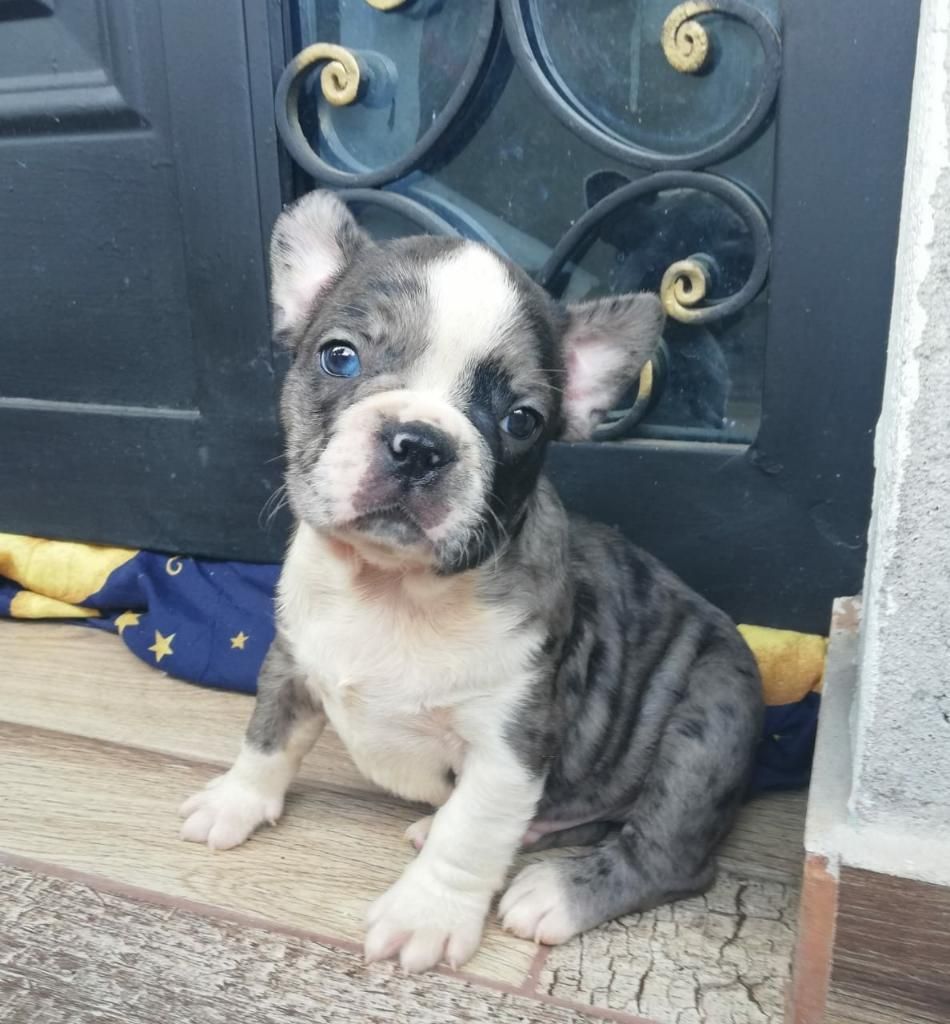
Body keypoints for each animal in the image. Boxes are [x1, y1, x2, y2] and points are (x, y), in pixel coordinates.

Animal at [180, 190, 765, 974]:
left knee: (667, 852)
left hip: (707, 724)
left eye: (521, 420)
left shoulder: (508, 746)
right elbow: (268, 736)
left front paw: (425, 914)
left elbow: (473, 833)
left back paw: (557, 891)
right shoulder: (292, 661)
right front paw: (236, 800)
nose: (419, 443)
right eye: (340, 357)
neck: (392, 589)